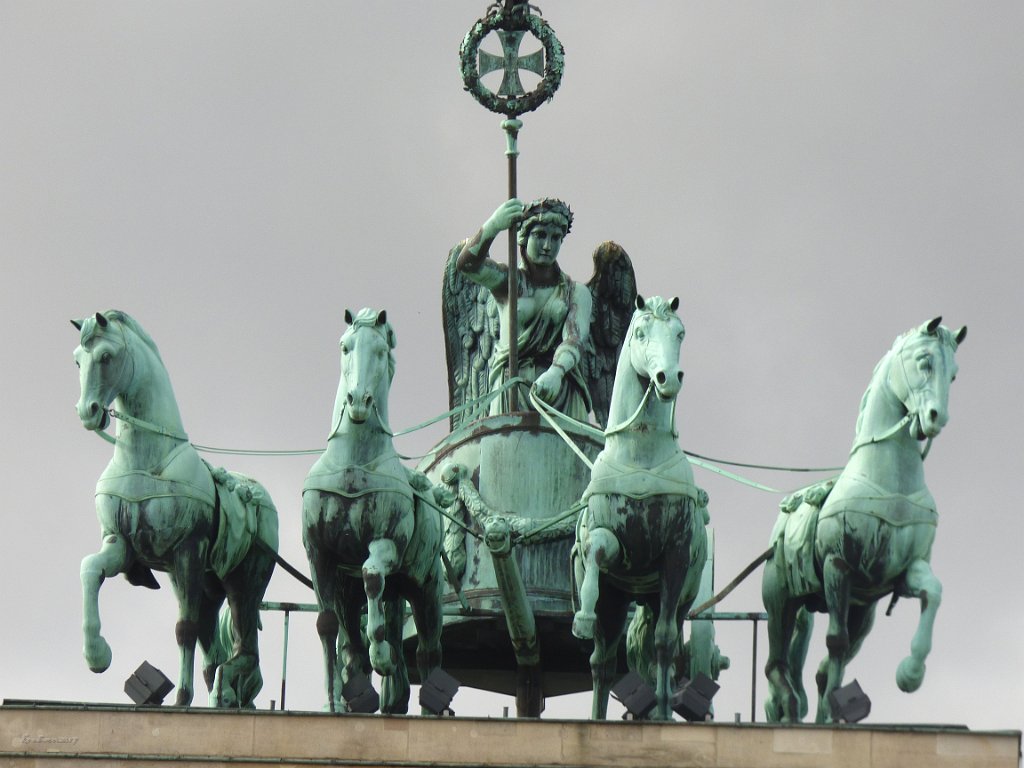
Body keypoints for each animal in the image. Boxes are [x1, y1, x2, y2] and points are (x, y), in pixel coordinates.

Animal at [70, 309, 280, 708]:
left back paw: (229, 687)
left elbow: (185, 628)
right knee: (215, 652)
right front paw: (97, 655)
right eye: (77, 359)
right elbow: (90, 569)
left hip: (242, 581)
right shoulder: (120, 545)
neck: (147, 458)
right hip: (208, 587)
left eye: (105, 357)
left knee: (242, 644)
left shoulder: (189, 551)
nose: (87, 413)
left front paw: (182, 697)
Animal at [303, 309, 448, 716]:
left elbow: (370, 574)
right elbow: (327, 625)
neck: (353, 463)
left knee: (429, 652)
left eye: (381, 351)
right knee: (353, 646)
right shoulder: (319, 556)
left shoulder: (386, 545)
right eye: (345, 346)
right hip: (357, 593)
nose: (358, 401)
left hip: (425, 588)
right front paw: (333, 701)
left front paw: (381, 656)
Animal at [573, 296, 708, 720]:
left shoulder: (675, 556)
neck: (641, 456)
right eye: (641, 333)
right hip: (618, 602)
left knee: (661, 646)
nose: (668, 378)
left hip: (671, 597)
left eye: (680, 333)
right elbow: (597, 550)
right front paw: (582, 614)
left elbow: (664, 642)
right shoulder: (614, 544)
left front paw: (663, 711)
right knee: (602, 661)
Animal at [761, 315, 966, 724]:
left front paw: (910, 673)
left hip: (863, 613)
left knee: (821, 667)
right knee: (777, 663)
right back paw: (788, 706)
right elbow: (834, 644)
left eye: (953, 374)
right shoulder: (838, 565)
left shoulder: (904, 572)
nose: (936, 419)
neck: (891, 482)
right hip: (780, 600)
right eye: (924, 361)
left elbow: (933, 593)